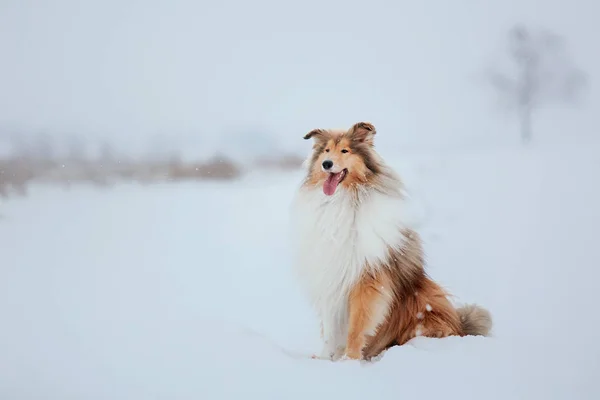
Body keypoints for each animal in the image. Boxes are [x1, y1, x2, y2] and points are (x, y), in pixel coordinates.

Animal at [290, 120, 492, 360]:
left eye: (345, 151)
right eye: (326, 150)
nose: (326, 164)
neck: (343, 199)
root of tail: (460, 327)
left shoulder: (367, 280)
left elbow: (357, 327)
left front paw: (349, 360)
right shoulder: (330, 278)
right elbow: (330, 328)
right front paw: (324, 358)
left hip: (427, 307)